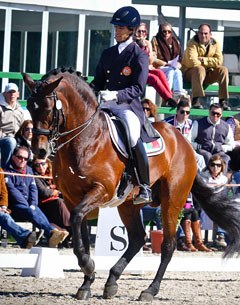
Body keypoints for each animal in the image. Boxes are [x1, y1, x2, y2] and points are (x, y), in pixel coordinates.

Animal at [23, 67, 240, 300]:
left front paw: (88, 266)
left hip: (172, 200)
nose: (39, 151)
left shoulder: (102, 190)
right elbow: (79, 229)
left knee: (168, 245)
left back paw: (150, 290)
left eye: (47, 108)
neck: (85, 138)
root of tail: (185, 143)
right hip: (129, 204)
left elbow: (77, 220)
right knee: (137, 238)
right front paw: (86, 283)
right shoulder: (73, 198)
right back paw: (111, 282)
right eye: (30, 106)